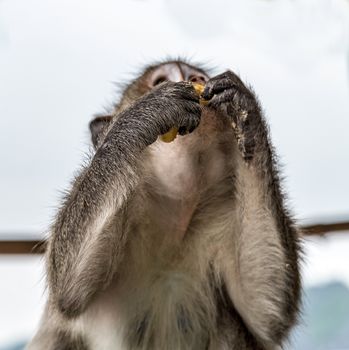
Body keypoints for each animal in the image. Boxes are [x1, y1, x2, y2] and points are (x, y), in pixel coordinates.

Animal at [26, 58, 300, 348]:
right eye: (159, 80)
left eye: (198, 76)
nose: (193, 78)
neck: (176, 206)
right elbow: (69, 291)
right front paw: (148, 111)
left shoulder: (224, 207)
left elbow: (265, 312)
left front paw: (244, 108)